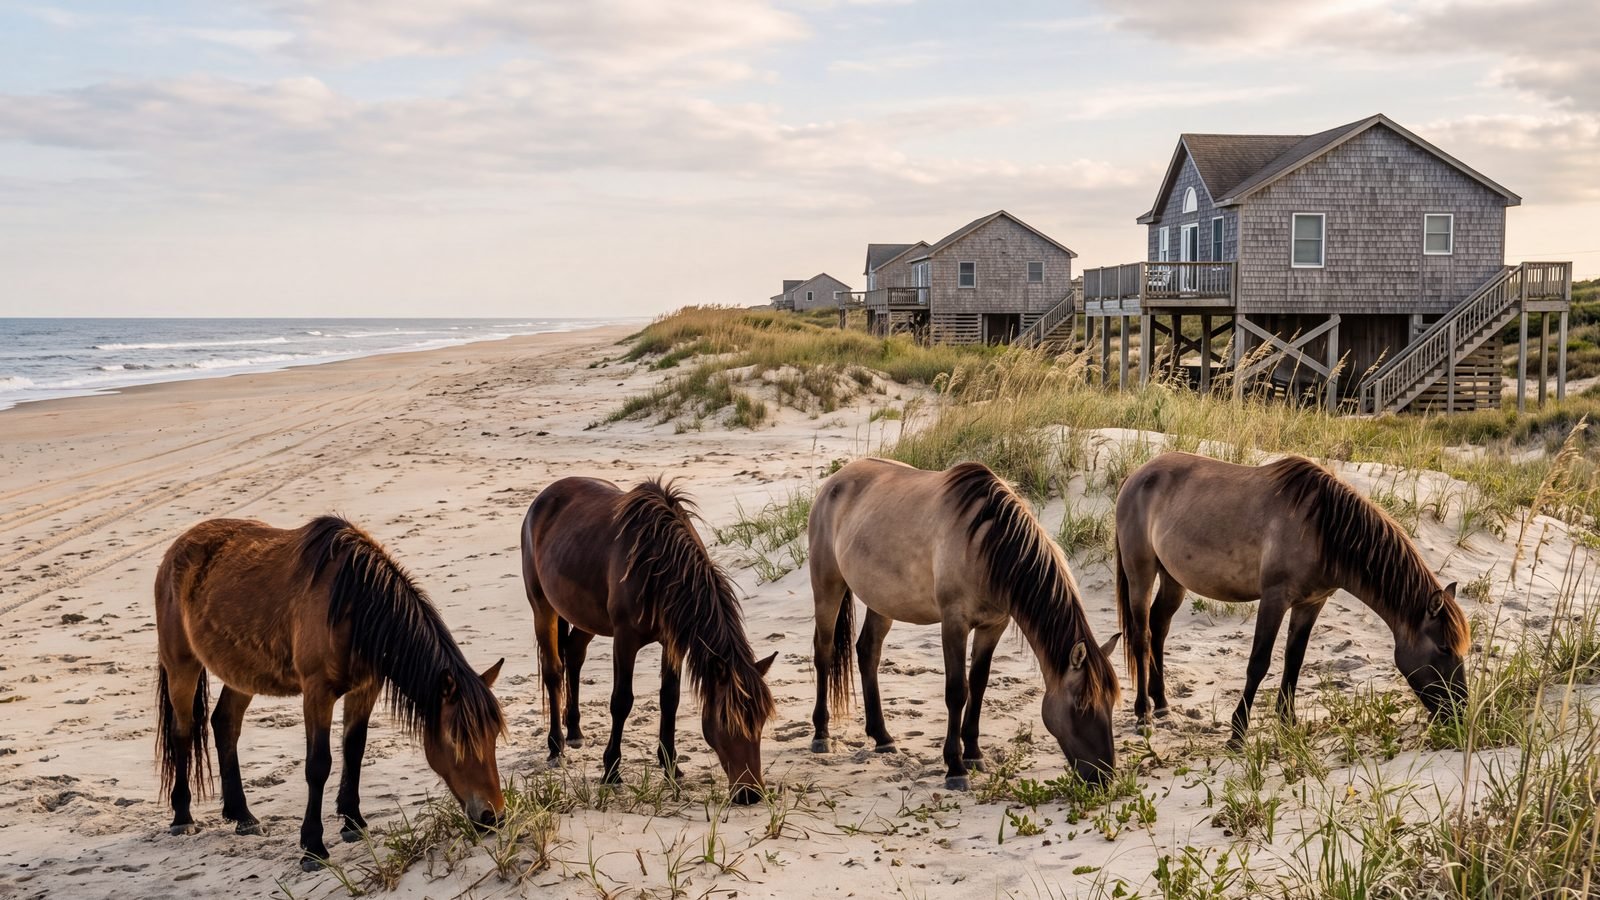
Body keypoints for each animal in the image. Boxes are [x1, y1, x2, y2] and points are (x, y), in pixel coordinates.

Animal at [154, 516, 507, 872]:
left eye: (493, 736)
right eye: (457, 739)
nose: (494, 816)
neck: (355, 606)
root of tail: (175, 550)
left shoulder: (366, 688)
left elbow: (354, 750)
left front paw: (353, 822)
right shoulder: (317, 692)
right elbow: (318, 764)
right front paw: (313, 847)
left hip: (242, 674)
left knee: (225, 724)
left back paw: (243, 817)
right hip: (182, 665)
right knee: (182, 732)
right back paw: (182, 817)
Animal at [520, 477, 777, 804]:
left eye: (761, 720)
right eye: (726, 720)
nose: (750, 794)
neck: (658, 564)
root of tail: (545, 496)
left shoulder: (673, 641)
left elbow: (670, 698)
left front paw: (671, 766)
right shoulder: (624, 639)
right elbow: (621, 701)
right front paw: (611, 770)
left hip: (584, 614)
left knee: (574, 655)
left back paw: (575, 730)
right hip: (543, 606)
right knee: (553, 671)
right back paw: (556, 745)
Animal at [807, 458, 1121, 791]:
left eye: (1111, 702)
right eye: (1082, 706)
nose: (1103, 776)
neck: (987, 546)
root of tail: (834, 482)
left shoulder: (993, 625)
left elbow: (979, 685)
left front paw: (973, 754)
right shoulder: (954, 623)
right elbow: (957, 691)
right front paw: (955, 767)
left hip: (883, 601)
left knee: (868, 652)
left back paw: (882, 738)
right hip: (827, 587)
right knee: (824, 653)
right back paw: (821, 735)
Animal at [1114, 452, 1470, 745]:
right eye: (1443, 647)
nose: (1461, 714)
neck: (1323, 530)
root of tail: (1135, 476)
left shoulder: (1311, 603)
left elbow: (1294, 659)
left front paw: (1288, 722)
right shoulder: (1275, 599)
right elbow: (1259, 663)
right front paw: (1238, 732)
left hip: (1174, 578)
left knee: (1159, 628)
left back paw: (1162, 703)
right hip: (1141, 572)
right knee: (1142, 636)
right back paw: (1144, 713)